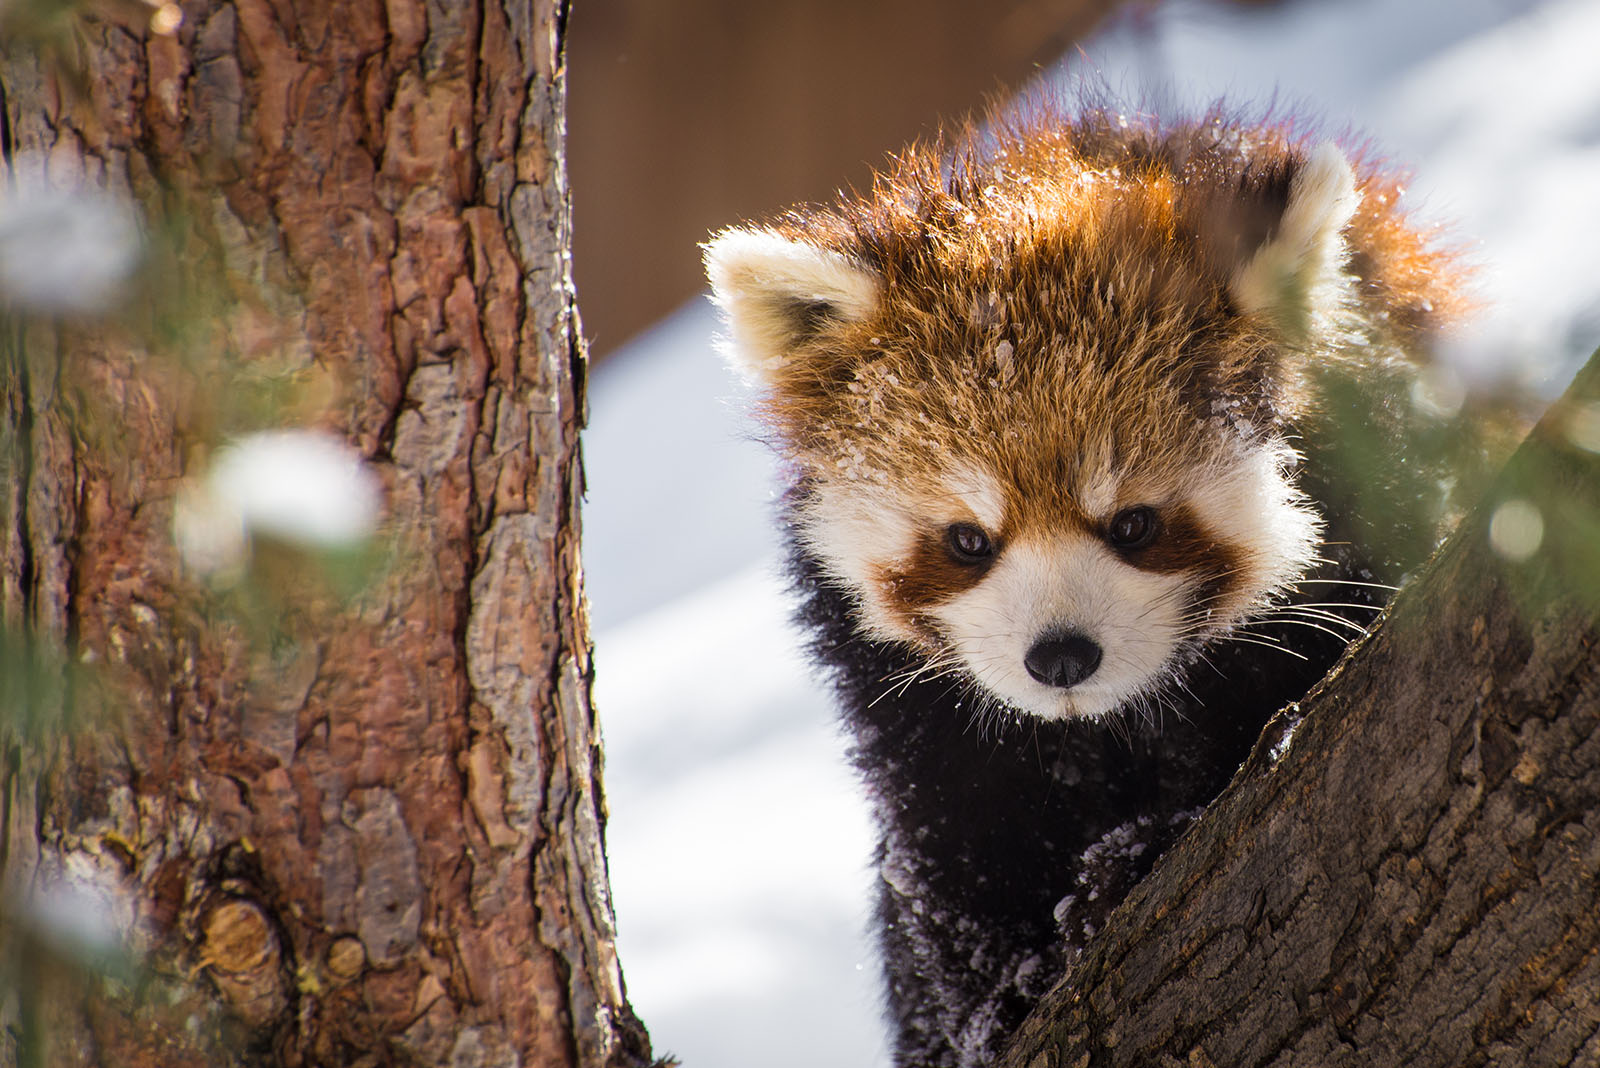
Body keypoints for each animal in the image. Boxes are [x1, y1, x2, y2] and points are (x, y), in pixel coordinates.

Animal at [700, 102, 1465, 1068]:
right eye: (968, 541)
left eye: (1133, 525)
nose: (1060, 658)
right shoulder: (913, 716)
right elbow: (955, 842)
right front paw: (999, 993)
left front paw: (1130, 861)